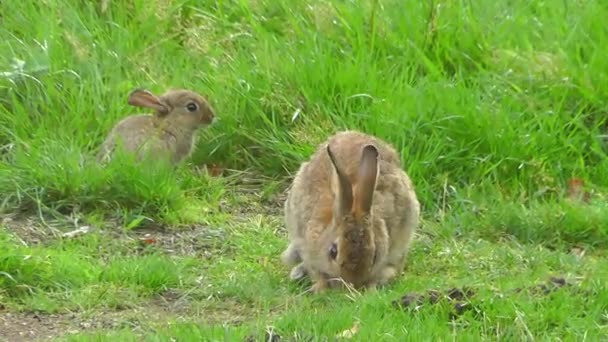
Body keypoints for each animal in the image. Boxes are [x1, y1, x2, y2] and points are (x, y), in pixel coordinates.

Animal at [282, 130, 420, 292]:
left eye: (375, 255)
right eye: (333, 252)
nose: (351, 283)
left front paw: (372, 288)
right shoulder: (307, 248)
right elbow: (317, 272)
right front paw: (319, 288)